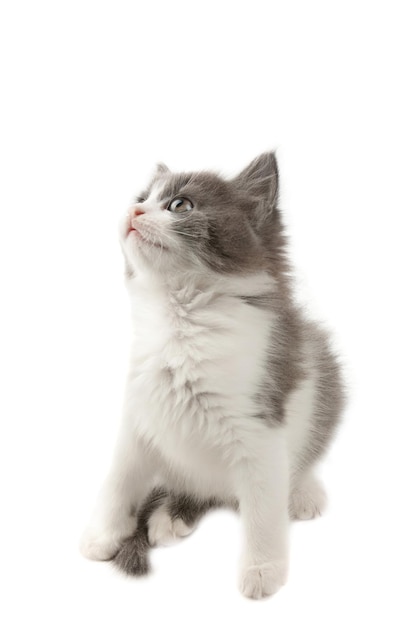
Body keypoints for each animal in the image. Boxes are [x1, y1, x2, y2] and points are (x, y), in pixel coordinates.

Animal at [81, 154, 344, 596]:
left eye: (180, 205)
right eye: (141, 199)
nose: (134, 213)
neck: (181, 321)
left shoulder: (259, 425)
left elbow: (263, 508)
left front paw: (262, 569)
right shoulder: (140, 411)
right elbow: (120, 479)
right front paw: (103, 536)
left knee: (299, 463)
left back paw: (303, 491)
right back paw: (171, 514)